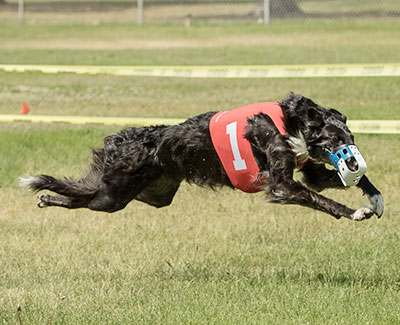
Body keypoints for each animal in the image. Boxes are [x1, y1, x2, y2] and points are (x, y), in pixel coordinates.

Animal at [21, 93, 384, 220]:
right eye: (334, 139)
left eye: (351, 138)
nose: (353, 160)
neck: (290, 121)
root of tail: (124, 139)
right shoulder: (281, 184)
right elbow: (320, 198)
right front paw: (357, 211)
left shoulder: (309, 170)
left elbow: (334, 182)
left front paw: (375, 198)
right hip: (113, 193)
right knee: (83, 197)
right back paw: (47, 197)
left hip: (151, 195)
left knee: (83, 196)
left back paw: (47, 198)